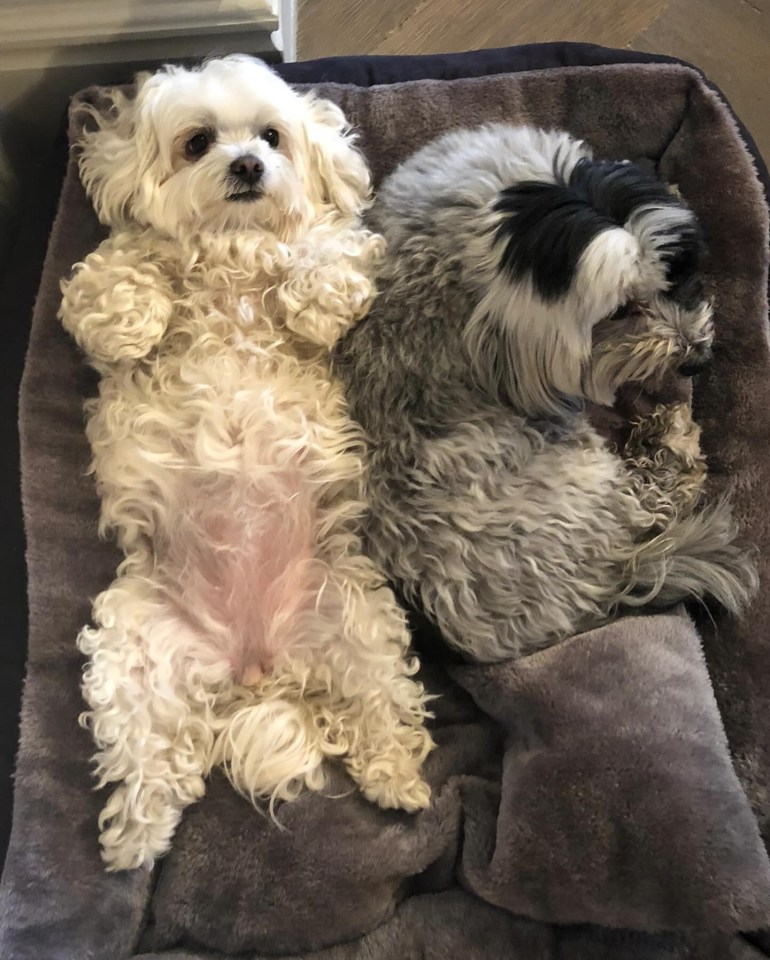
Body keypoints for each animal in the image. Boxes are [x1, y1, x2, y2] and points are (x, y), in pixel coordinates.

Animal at [58, 56, 432, 872]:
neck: (234, 253)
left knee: (382, 715)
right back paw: (133, 842)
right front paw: (137, 321)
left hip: (359, 627)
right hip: (132, 654)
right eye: (198, 141)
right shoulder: (121, 268)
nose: (249, 166)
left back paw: (401, 783)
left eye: (272, 136)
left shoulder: (334, 247)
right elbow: (118, 271)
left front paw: (309, 295)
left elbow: (330, 247)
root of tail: (255, 668)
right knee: (148, 764)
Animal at [332, 124, 752, 660]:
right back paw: (672, 439)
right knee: (657, 500)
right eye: (619, 311)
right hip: (585, 477)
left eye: (677, 274)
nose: (698, 359)